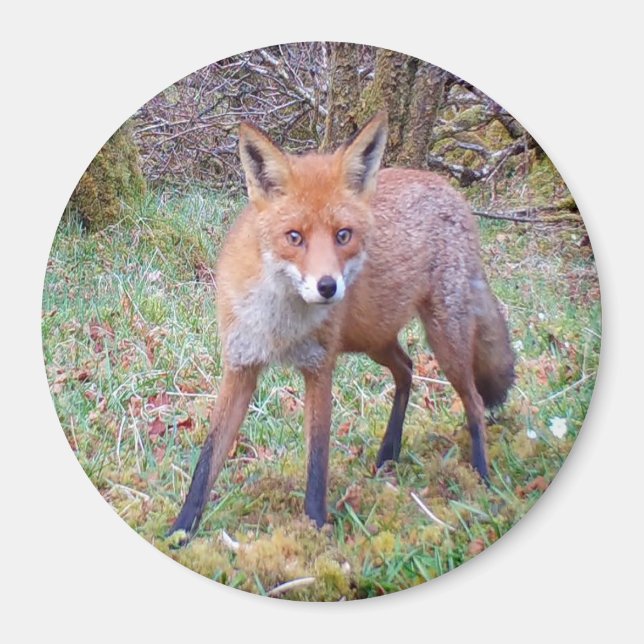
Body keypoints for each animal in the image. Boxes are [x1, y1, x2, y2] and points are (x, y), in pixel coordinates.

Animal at [169, 111, 515, 537]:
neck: (281, 325)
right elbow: (208, 457)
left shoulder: (319, 367)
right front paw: (180, 531)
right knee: (407, 369)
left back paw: (481, 477)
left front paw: (316, 529)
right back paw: (389, 452)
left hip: (443, 340)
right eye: (294, 237)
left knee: (475, 403)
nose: (328, 287)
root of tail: (448, 189)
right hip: (374, 339)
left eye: (343, 235)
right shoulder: (240, 365)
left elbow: (317, 458)